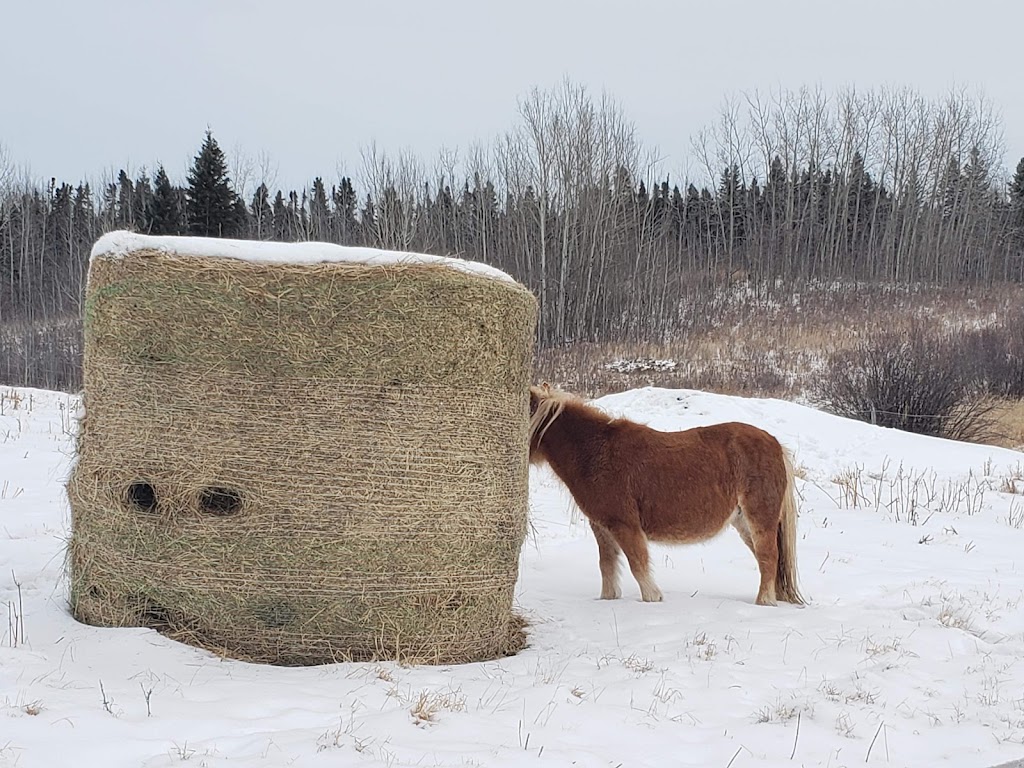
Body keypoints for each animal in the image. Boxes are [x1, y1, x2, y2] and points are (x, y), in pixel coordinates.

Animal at [532, 385, 802, 606]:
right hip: (743, 522)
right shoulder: (602, 527)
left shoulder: (625, 525)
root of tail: (775, 444)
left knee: (768, 557)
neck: (596, 452)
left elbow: (638, 564)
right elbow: (607, 567)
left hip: (759, 518)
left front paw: (653, 598)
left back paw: (763, 602)